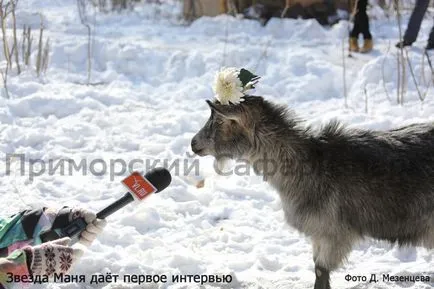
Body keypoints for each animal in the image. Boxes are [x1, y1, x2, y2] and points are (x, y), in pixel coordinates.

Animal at [190, 95, 434, 288]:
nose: (193, 143)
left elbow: (320, 273)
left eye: (219, 121)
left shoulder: (333, 233)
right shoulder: (319, 234)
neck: (309, 163)